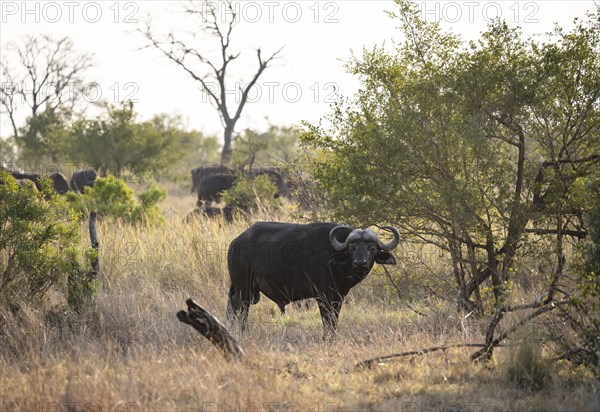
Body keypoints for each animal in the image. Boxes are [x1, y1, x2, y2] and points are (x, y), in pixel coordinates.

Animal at [227, 222, 400, 338]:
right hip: (244, 288)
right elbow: (327, 318)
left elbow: (334, 318)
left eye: (372, 248)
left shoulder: (338, 296)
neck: (335, 260)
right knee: (242, 311)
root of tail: (236, 243)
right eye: (352, 248)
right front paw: (326, 338)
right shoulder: (322, 296)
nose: (360, 263)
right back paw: (243, 332)